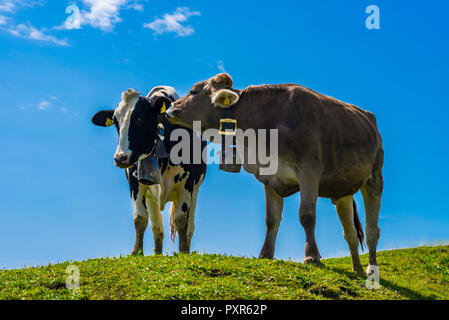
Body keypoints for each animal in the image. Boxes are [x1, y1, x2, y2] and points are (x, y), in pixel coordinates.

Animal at [93, 85, 208, 255]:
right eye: (115, 122)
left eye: (139, 118)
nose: (120, 158)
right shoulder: (135, 183)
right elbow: (140, 219)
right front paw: (136, 252)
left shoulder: (186, 182)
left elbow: (181, 219)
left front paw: (183, 252)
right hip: (150, 196)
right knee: (157, 228)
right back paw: (158, 254)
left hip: (196, 190)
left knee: (189, 227)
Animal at [166, 74, 384, 274]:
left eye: (193, 91)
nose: (169, 109)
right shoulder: (271, 176)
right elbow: (271, 219)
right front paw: (265, 254)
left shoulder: (309, 171)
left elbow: (306, 215)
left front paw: (312, 256)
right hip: (344, 190)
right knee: (350, 233)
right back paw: (357, 269)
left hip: (375, 178)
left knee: (372, 230)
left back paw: (371, 269)